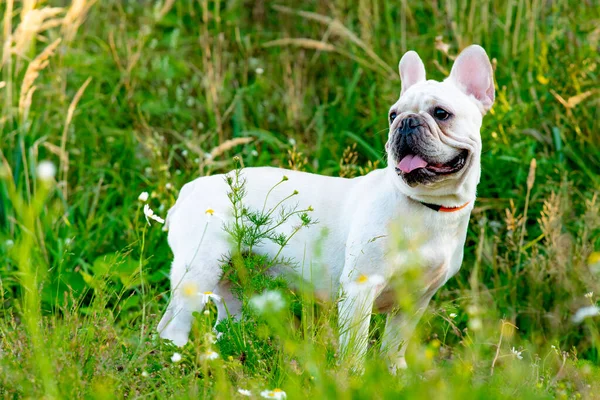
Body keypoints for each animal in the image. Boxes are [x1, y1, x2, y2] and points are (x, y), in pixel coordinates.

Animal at [157, 45, 494, 374]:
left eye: (441, 113)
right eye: (392, 115)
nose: (406, 122)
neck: (428, 206)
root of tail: (192, 187)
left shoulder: (414, 300)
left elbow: (394, 348)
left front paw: (395, 376)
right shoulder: (359, 290)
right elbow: (354, 349)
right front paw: (354, 379)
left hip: (233, 286)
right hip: (198, 273)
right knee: (173, 327)